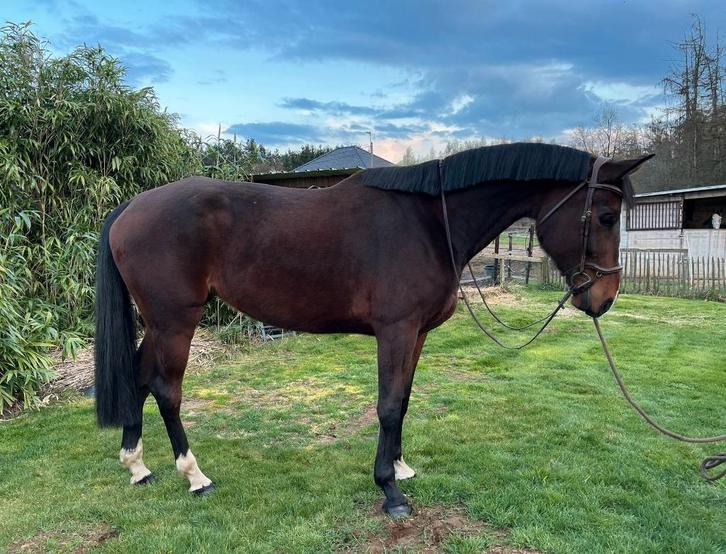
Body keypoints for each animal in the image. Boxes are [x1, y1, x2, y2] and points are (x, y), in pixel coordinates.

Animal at [94, 143, 652, 517]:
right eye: (606, 216)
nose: (604, 299)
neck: (429, 223)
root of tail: (130, 207)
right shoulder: (396, 331)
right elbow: (386, 405)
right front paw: (390, 491)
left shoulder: (418, 334)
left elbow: (402, 401)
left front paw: (401, 468)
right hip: (176, 321)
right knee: (166, 389)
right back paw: (194, 475)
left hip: (160, 323)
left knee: (139, 379)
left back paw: (137, 466)